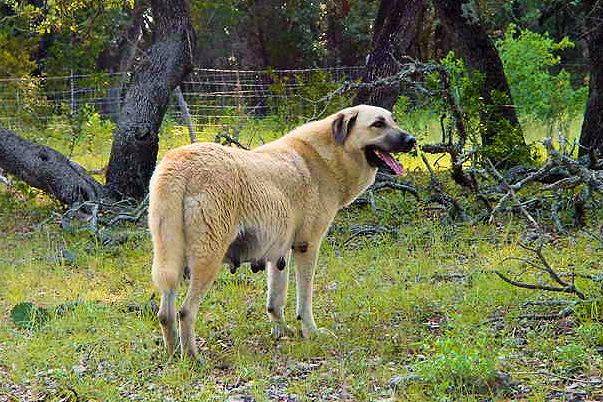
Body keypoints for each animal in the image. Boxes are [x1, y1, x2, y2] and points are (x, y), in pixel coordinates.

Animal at [149, 104, 418, 358]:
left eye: (392, 120)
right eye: (378, 124)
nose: (412, 140)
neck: (329, 154)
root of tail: (179, 162)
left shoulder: (279, 254)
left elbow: (275, 301)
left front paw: (282, 332)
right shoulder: (307, 247)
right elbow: (304, 300)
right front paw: (311, 332)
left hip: (171, 260)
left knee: (165, 313)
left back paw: (174, 355)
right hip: (207, 260)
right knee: (185, 312)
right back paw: (193, 357)